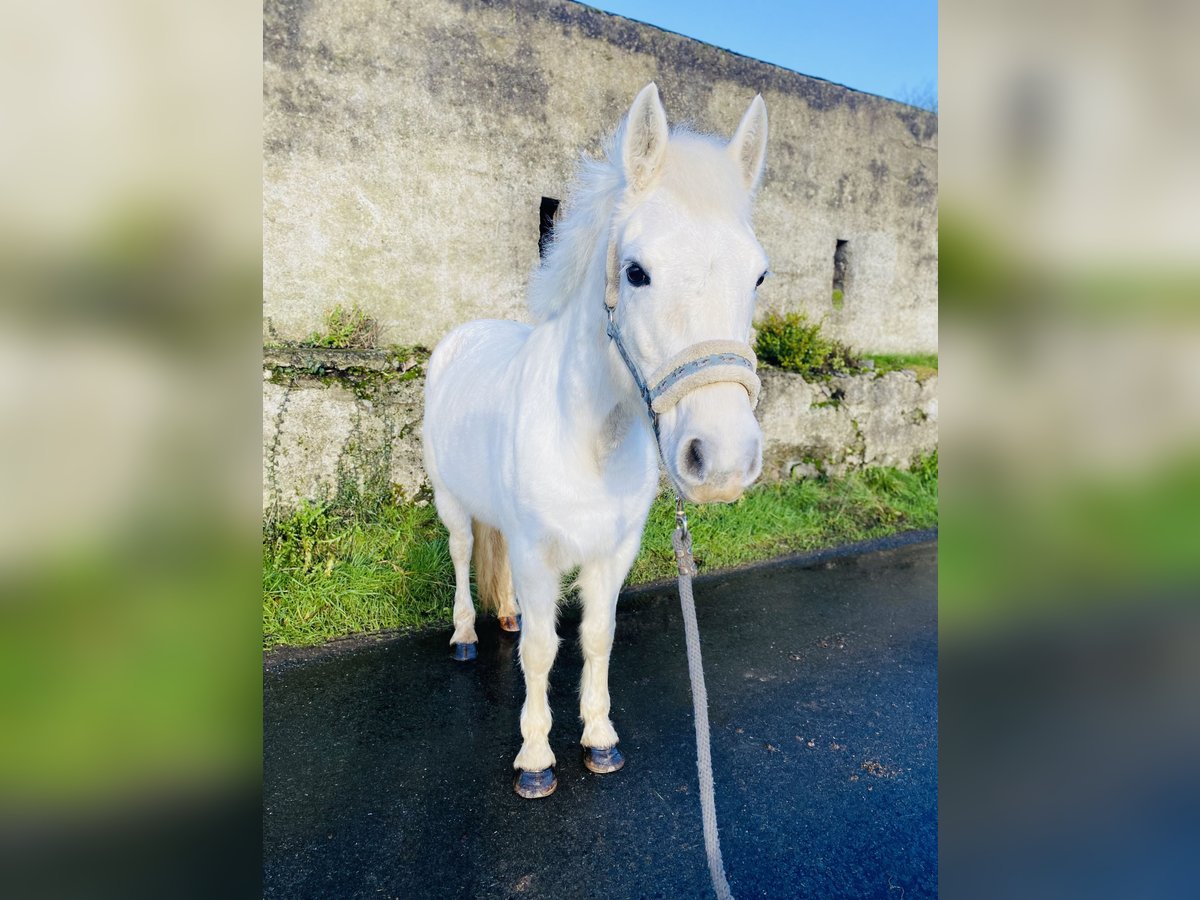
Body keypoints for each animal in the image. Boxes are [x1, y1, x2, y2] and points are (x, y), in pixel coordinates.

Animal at [420, 84, 768, 801]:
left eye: (758, 277)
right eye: (635, 272)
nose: (722, 460)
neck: (588, 440)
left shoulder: (613, 552)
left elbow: (597, 637)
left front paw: (599, 739)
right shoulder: (536, 552)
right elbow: (541, 651)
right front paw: (535, 758)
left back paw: (505, 616)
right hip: (451, 501)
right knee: (464, 554)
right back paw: (466, 634)